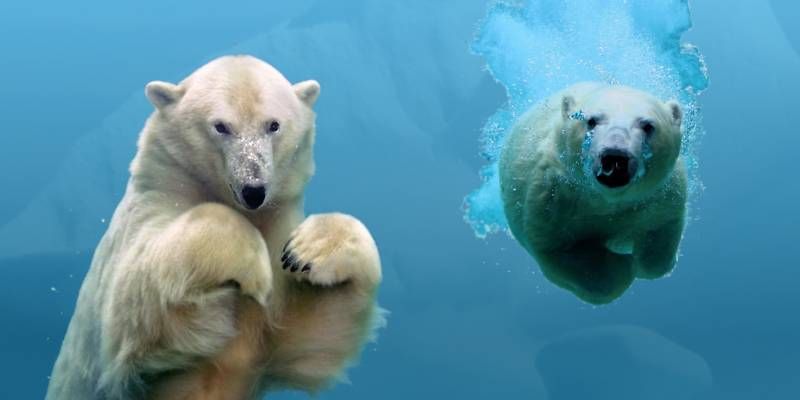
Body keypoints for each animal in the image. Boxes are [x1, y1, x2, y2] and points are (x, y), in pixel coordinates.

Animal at [47, 54, 384, 398]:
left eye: (273, 125)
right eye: (221, 126)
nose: (254, 190)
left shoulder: (275, 225)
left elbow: (312, 333)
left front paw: (306, 252)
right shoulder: (151, 203)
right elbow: (134, 304)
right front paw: (253, 271)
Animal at [504, 83, 684, 304]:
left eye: (648, 126)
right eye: (591, 120)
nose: (615, 157)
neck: (604, 200)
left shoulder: (659, 196)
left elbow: (660, 232)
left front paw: (639, 262)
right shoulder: (552, 199)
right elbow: (561, 251)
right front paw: (622, 267)